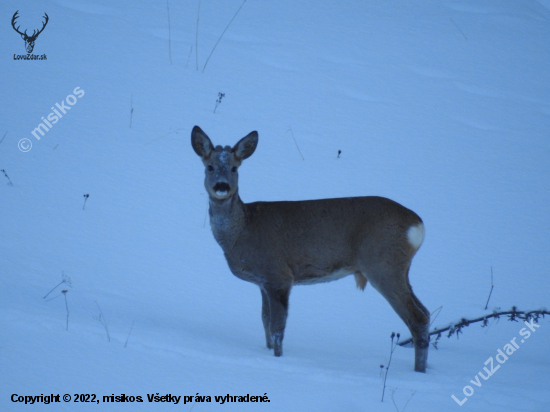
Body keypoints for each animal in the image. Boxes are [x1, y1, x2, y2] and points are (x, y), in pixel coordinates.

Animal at [193, 124, 432, 370]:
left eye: (234, 167)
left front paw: (278, 359)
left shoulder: (279, 275)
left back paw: (418, 371)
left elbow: (278, 328)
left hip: (382, 264)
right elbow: (265, 321)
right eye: (209, 166)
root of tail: (417, 224)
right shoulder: (262, 282)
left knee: (417, 317)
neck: (242, 230)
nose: (222, 186)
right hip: (399, 268)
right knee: (425, 312)